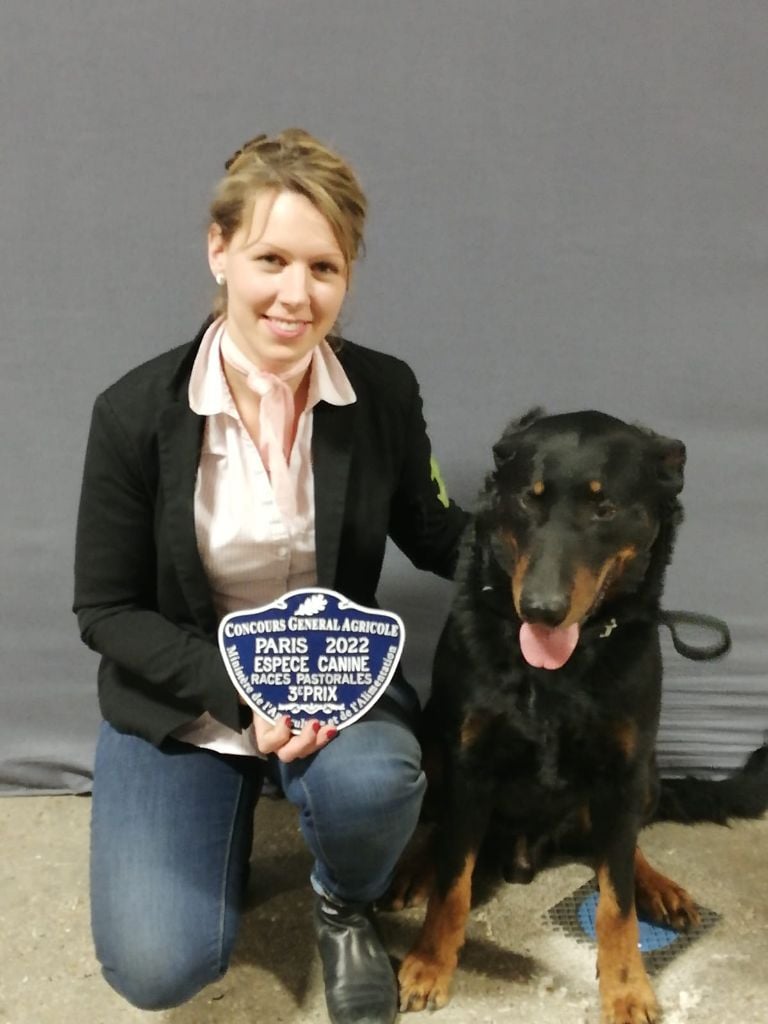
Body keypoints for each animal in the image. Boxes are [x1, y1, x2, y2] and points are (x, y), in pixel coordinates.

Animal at [397, 409, 768, 1024]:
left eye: (605, 509)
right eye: (530, 500)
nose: (540, 610)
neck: (556, 672)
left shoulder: (621, 774)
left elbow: (616, 902)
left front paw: (626, 987)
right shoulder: (471, 763)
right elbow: (454, 880)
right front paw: (430, 961)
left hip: (646, 773)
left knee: (623, 848)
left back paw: (658, 885)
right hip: (431, 743)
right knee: (441, 827)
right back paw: (413, 865)